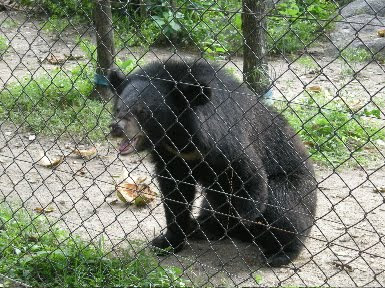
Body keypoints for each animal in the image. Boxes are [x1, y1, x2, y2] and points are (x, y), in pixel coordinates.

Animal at [107, 59, 316, 268]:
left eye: (142, 112)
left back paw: (279, 253)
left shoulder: (225, 136)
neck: (177, 135)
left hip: (294, 186)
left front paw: (245, 217)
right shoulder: (171, 156)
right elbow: (175, 194)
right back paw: (201, 227)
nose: (116, 128)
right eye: (119, 108)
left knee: (283, 210)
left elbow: (249, 172)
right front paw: (166, 242)